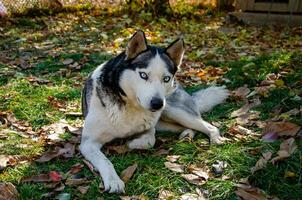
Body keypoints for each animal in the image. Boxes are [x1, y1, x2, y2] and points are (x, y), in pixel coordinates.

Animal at [80, 30, 229, 193]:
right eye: (143, 75)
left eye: (166, 78)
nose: (157, 103)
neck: (128, 105)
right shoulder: (88, 143)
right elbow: (105, 160)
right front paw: (114, 181)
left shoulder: (150, 128)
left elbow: (150, 140)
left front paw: (131, 143)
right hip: (165, 119)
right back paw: (187, 134)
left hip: (173, 110)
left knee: (208, 125)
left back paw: (215, 138)